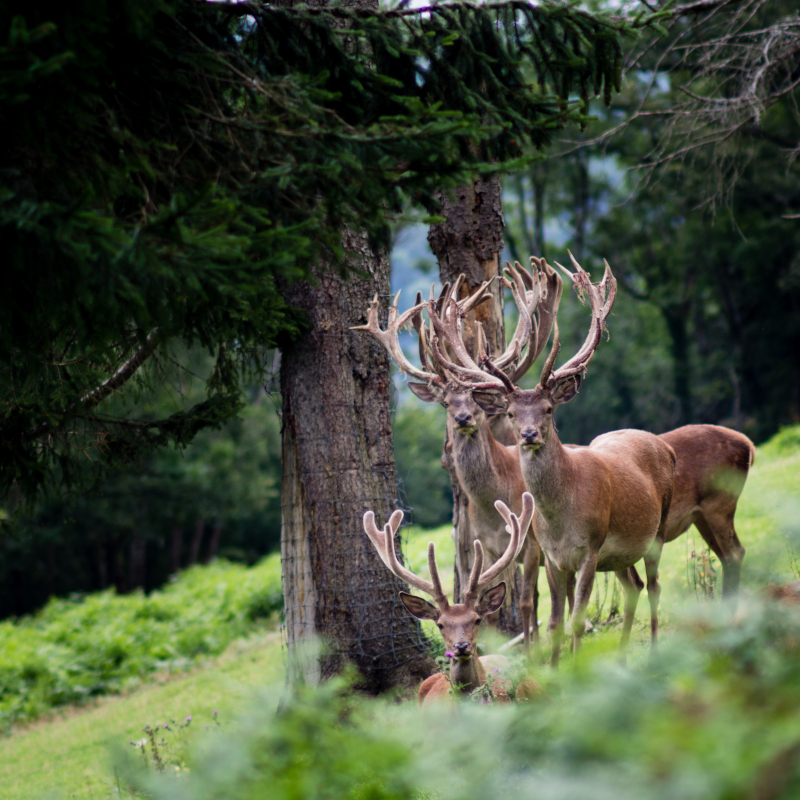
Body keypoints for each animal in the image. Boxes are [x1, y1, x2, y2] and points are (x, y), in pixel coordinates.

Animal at [352, 262, 564, 648]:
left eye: (477, 401)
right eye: (447, 403)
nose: (464, 417)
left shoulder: (528, 544)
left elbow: (526, 601)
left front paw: (530, 651)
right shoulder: (490, 547)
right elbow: (492, 605)